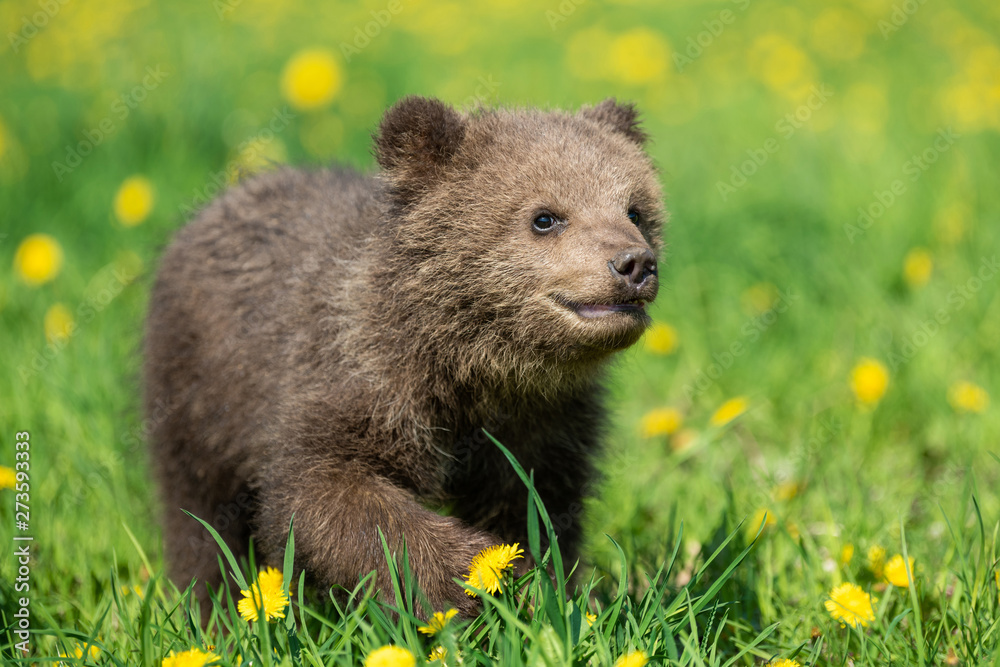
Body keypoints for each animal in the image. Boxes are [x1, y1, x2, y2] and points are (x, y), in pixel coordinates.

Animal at [144, 96, 665, 617]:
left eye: (635, 210)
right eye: (545, 217)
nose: (634, 262)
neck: (473, 362)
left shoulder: (543, 422)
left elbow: (538, 509)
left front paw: (544, 590)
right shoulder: (356, 376)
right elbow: (322, 491)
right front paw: (473, 572)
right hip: (200, 395)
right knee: (198, 515)